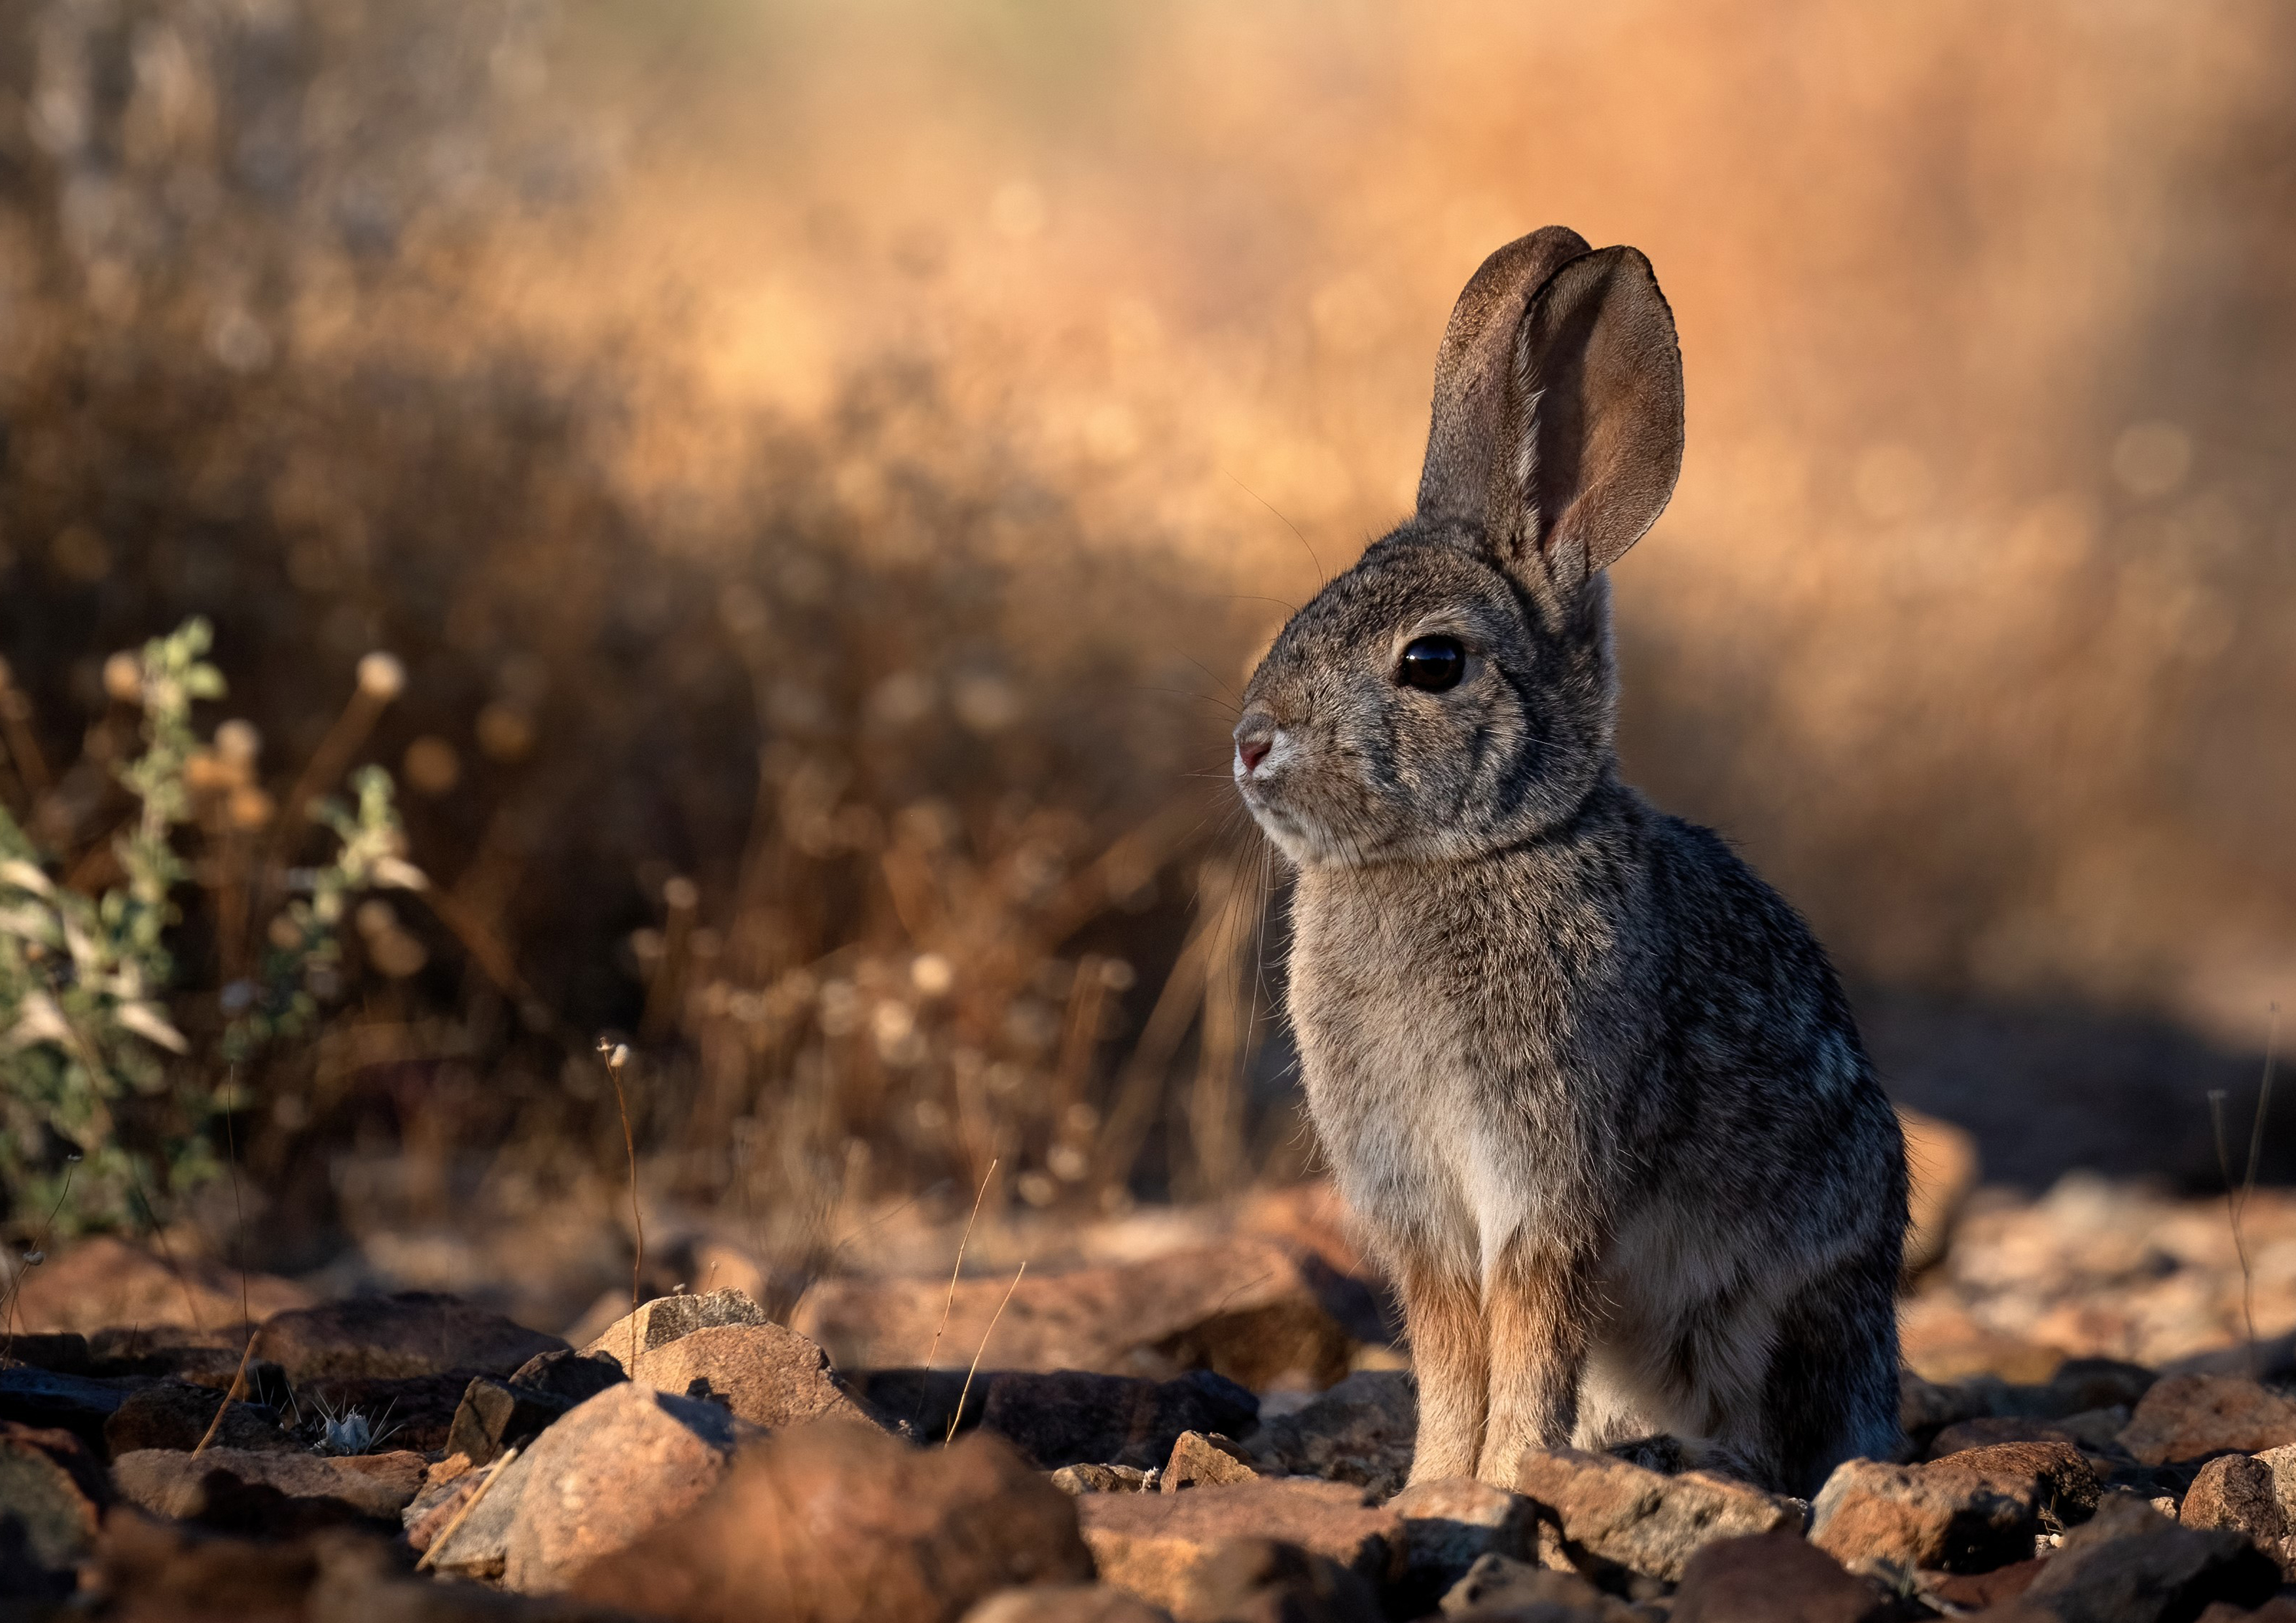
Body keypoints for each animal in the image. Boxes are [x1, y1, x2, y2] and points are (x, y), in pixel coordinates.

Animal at [1231, 227, 1906, 1499]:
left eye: (1432, 663)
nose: (1250, 744)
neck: (1455, 855)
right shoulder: (1418, 1208)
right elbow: (1451, 1347)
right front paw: (1432, 1487)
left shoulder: (1548, 1182)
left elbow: (1529, 1331)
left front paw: (1499, 1482)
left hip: (1783, 1316)